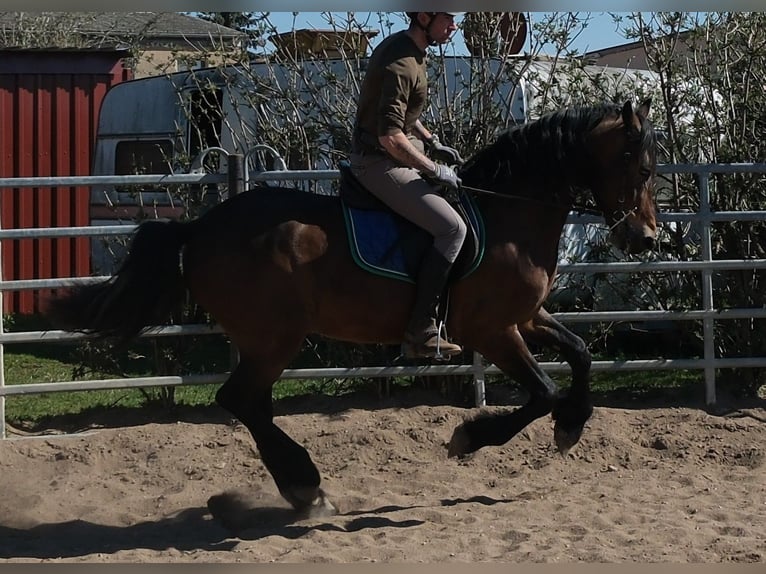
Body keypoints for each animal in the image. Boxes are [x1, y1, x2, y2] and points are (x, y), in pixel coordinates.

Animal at [45, 99, 658, 515]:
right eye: (642, 167)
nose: (646, 238)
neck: (510, 215)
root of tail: (199, 228)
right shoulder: (491, 330)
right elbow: (542, 391)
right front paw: (471, 438)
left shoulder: (525, 318)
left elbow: (580, 353)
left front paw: (571, 427)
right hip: (275, 338)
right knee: (239, 400)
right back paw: (305, 486)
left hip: (265, 341)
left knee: (251, 404)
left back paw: (300, 486)